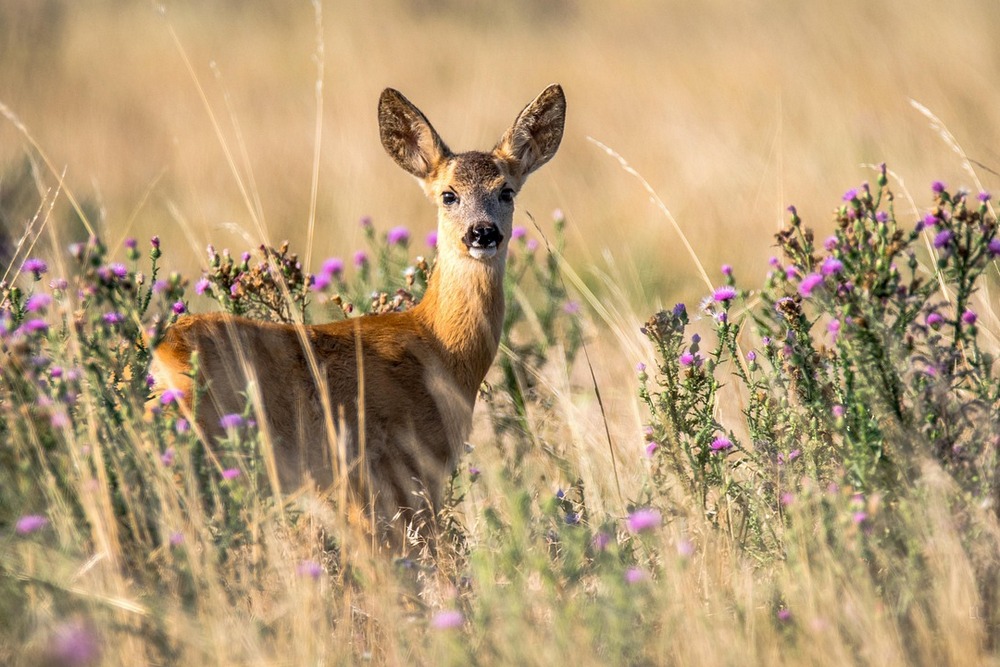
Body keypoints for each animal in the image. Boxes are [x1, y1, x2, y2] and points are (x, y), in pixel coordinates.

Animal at [152, 83, 568, 552]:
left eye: (506, 191)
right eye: (448, 194)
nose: (482, 233)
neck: (439, 347)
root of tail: (163, 352)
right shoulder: (399, 468)